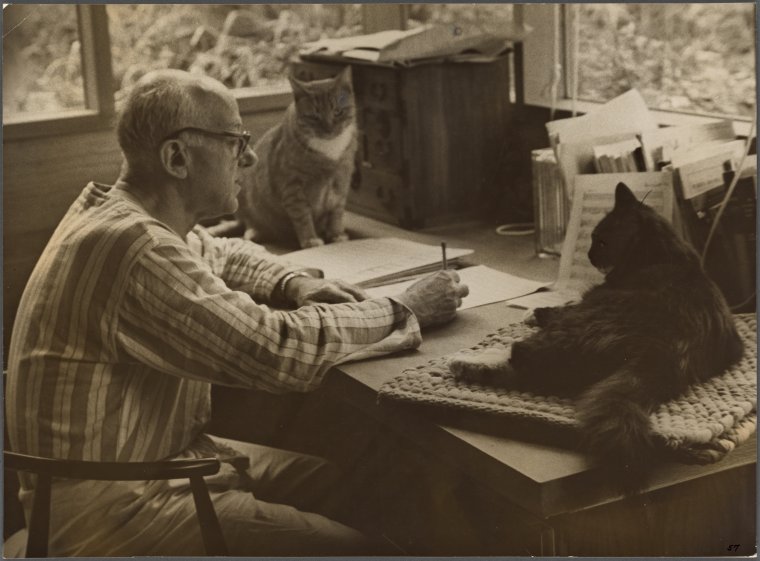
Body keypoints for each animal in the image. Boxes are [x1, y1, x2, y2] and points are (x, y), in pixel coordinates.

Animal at [236, 64, 358, 246]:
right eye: (314, 116)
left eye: (338, 111)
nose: (328, 129)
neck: (329, 153)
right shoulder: (292, 187)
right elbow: (303, 217)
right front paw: (310, 239)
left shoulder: (341, 182)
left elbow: (336, 214)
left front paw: (336, 235)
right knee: (248, 221)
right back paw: (253, 232)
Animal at [452, 183, 744, 490]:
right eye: (593, 239)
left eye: (601, 241)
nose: (590, 255)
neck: (665, 253)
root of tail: (664, 348)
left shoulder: (585, 302)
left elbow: (558, 308)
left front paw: (532, 312)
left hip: (568, 331)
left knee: (521, 361)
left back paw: (466, 362)